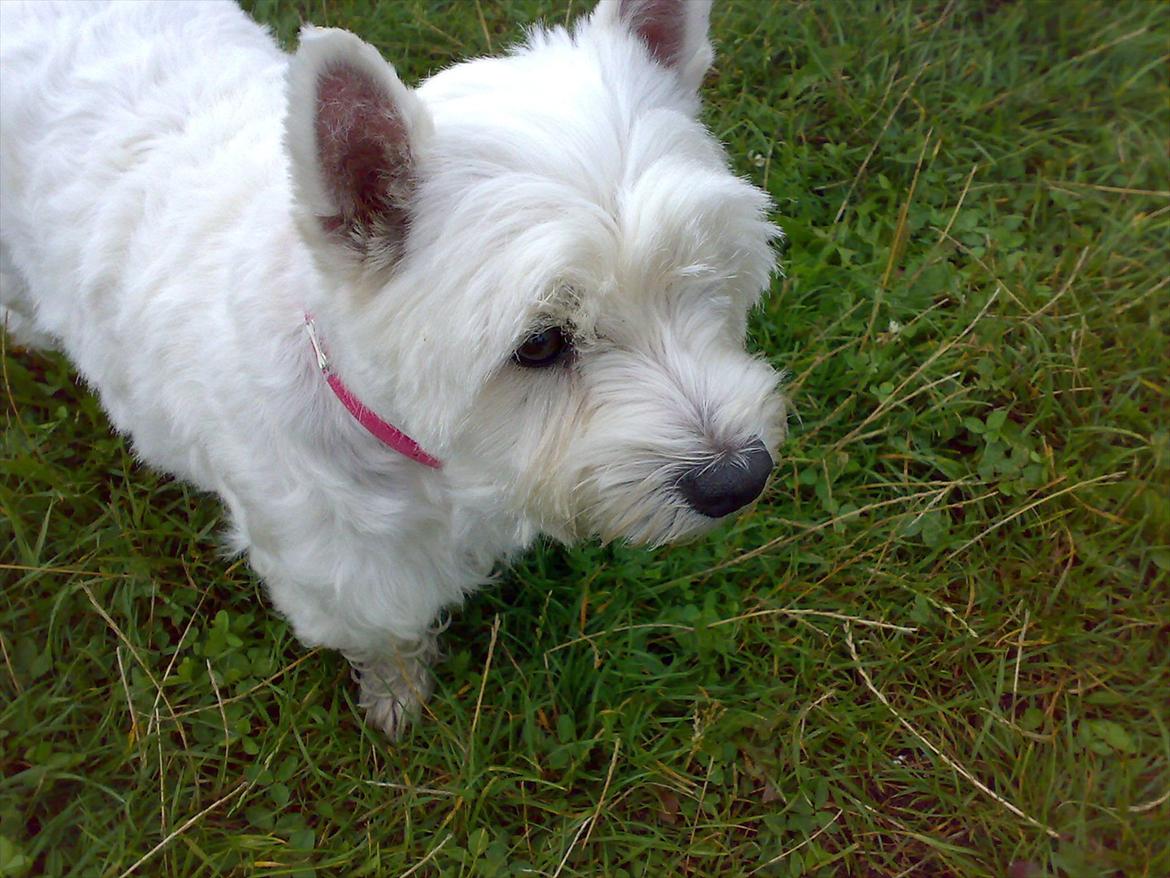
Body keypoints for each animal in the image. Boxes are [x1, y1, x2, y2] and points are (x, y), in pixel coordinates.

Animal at [4, 0, 786, 735]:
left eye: (704, 272)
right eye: (539, 345)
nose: (738, 479)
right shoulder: (341, 575)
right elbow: (385, 636)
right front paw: (397, 692)